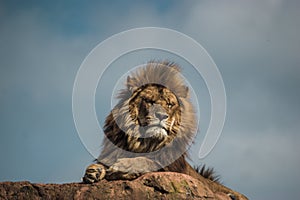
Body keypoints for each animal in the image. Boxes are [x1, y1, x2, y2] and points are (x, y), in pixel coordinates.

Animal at [82, 61, 248, 200]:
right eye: (149, 101)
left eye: (169, 104)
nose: (161, 115)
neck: (145, 143)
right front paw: (94, 171)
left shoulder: (172, 166)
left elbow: (146, 161)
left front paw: (122, 167)